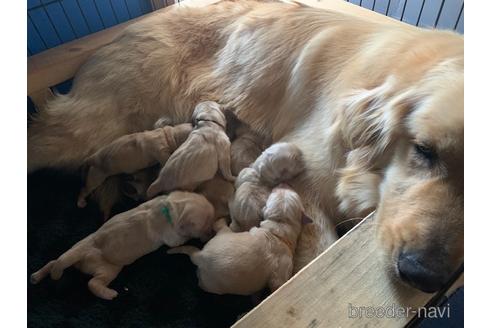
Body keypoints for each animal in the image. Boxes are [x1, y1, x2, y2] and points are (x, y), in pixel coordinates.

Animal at [168, 186, 304, 296]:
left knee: (218, 225)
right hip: (211, 283)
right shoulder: (282, 272)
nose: (281, 185)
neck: (279, 227)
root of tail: (200, 256)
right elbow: (279, 284)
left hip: (223, 234)